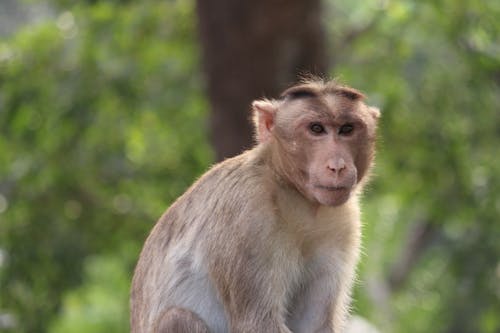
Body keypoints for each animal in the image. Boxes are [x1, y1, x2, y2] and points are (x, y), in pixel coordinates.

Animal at [131, 78, 380, 332]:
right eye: (316, 129)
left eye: (347, 129)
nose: (337, 166)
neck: (295, 195)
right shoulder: (246, 212)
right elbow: (257, 321)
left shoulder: (343, 223)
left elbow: (315, 323)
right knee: (178, 317)